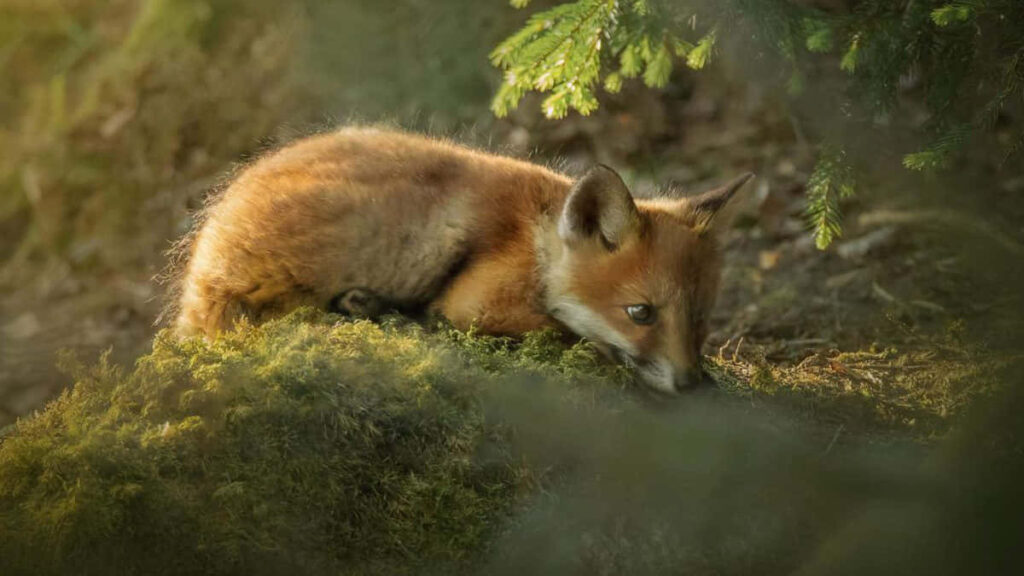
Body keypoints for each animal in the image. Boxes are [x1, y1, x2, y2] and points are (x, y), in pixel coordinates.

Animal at [170, 127, 753, 394]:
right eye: (640, 313)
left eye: (701, 317)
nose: (692, 385)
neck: (537, 242)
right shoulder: (478, 301)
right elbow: (571, 335)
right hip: (427, 233)